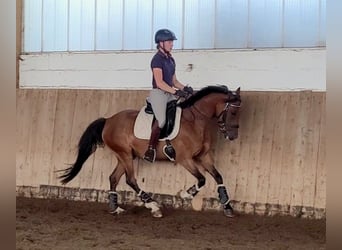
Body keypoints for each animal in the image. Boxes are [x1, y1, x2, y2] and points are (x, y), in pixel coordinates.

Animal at [58, 85, 240, 218]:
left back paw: (115, 208)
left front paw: (227, 206)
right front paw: (185, 194)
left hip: (125, 156)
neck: (195, 121)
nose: (233, 136)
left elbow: (218, 176)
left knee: (114, 178)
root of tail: (108, 120)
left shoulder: (204, 156)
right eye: (233, 111)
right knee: (130, 179)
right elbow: (202, 179)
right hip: (124, 154)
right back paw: (153, 206)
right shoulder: (185, 159)